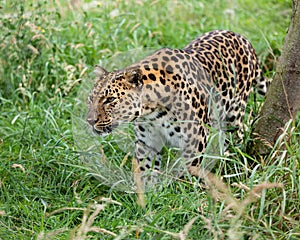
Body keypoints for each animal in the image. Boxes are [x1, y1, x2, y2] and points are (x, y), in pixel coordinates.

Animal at [86, 29, 268, 180]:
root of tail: (242, 38)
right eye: (91, 99)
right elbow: (147, 170)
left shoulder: (196, 139)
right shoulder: (147, 142)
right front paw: (149, 194)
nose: (90, 121)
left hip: (234, 113)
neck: (152, 113)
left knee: (236, 135)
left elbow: (189, 170)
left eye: (110, 100)